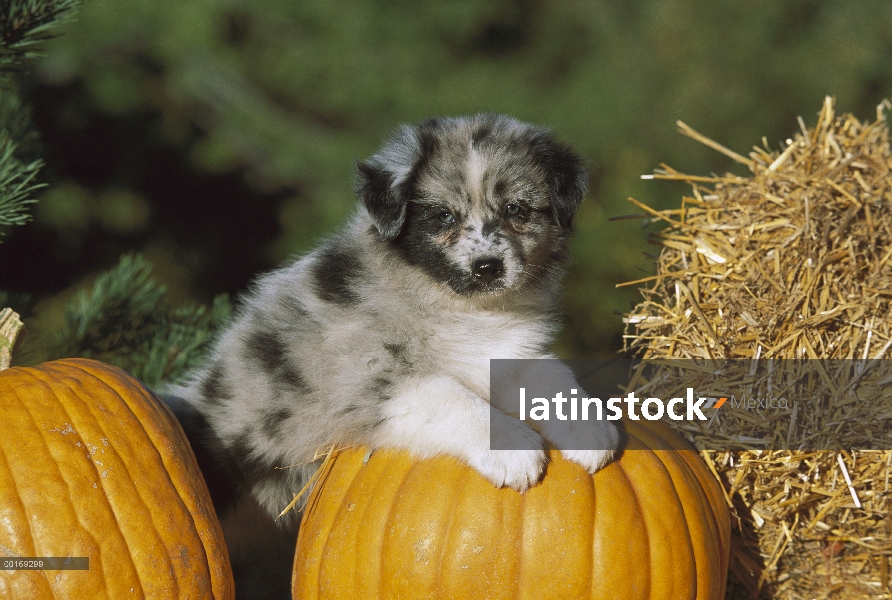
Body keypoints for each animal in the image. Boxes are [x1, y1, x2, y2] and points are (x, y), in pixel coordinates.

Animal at [162, 115, 620, 596]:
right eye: (443, 215)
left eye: (517, 209)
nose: (488, 268)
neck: (460, 308)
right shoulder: (364, 379)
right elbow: (449, 394)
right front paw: (513, 449)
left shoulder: (508, 356)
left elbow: (553, 375)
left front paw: (590, 430)